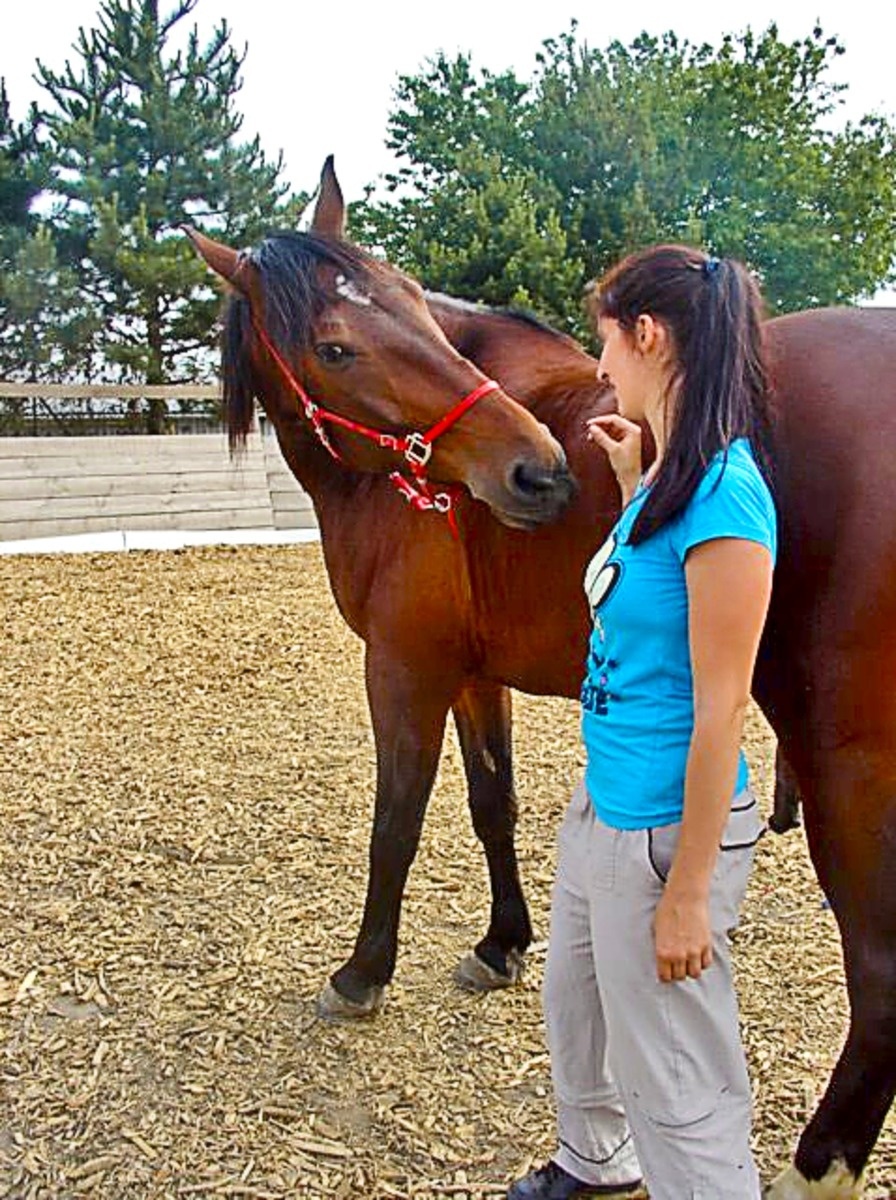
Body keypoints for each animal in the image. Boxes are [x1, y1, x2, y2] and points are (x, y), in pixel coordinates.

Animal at [189, 162, 896, 1200]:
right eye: (336, 345)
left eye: (417, 308)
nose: (539, 472)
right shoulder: (473, 677)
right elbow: (493, 805)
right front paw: (503, 944)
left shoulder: (403, 668)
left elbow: (396, 823)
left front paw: (362, 974)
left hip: (847, 759)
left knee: (880, 967)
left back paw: (819, 1166)